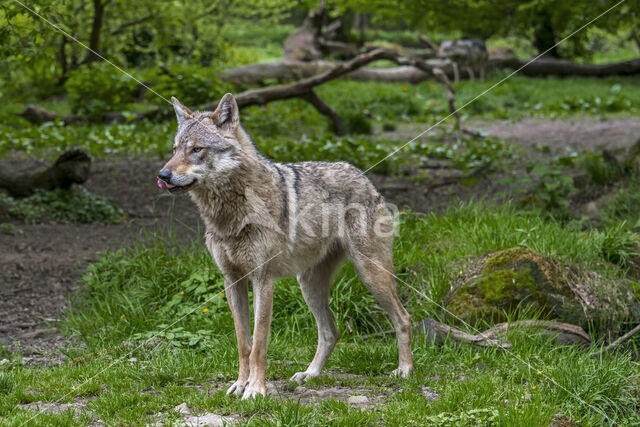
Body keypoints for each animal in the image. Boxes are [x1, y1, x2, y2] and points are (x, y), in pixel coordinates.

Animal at [158, 93, 412, 402]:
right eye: (174, 150)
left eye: (196, 149)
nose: (163, 174)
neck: (231, 213)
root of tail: (362, 175)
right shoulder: (232, 280)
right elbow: (243, 344)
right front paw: (240, 385)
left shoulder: (263, 280)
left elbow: (259, 344)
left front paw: (256, 389)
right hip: (309, 286)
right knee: (331, 332)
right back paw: (310, 375)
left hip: (370, 275)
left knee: (403, 318)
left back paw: (405, 371)